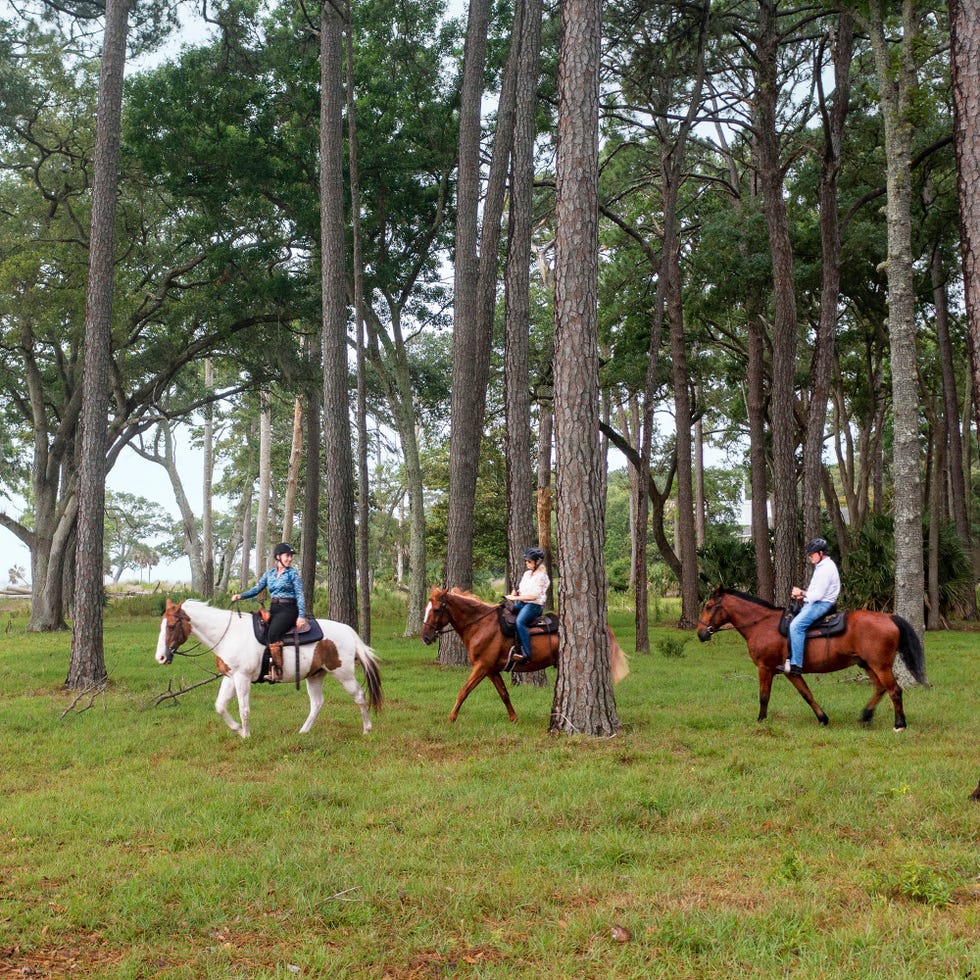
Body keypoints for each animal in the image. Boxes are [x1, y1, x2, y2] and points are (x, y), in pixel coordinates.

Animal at [154, 596, 382, 736]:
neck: (228, 634)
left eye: (172, 626)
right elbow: (220, 706)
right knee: (317, 703)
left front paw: (246, 735)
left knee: (359, 696)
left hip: (343, 673)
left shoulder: (243, 678)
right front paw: (238, 729)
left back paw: (367, 729)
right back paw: (303, 732)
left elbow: (244, 708)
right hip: (315, 675)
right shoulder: (230, 677)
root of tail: (349, 631)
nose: (161, 657)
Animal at [422, 584, 628, 724]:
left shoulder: (482, 667)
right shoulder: (491, 670)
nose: (425, 637)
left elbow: (464, 691)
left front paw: (451, 717)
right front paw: (514, 718)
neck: (481, 625)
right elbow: (504, 693)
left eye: (437, 609)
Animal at [696, 584, 928, 732]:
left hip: (880, 665)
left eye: (708, 606)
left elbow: (764, 696)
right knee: (880, 689)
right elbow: (806, 694)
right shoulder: (791, 672)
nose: (700, 633)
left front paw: (761, 720)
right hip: (867, 664)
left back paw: (899, 724)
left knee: (894, 690)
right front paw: (823, 719)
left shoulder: (765, 668)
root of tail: (889, 617)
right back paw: (866, 716)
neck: (761, 624)